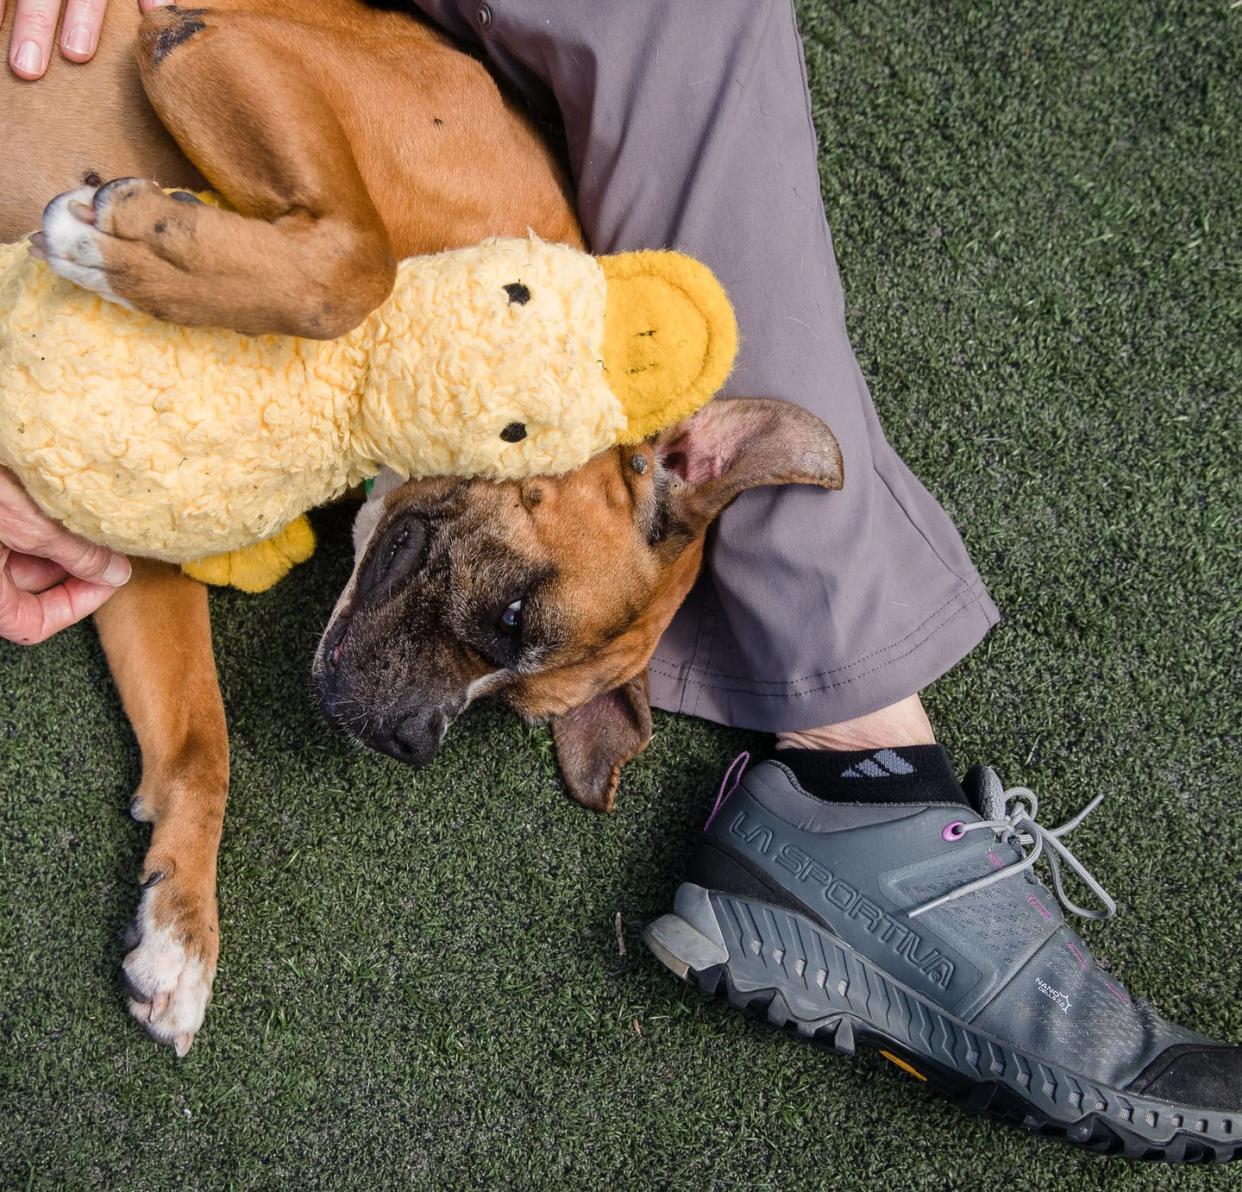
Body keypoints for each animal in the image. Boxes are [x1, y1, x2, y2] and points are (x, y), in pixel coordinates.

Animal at [2, 4, 844, 1057]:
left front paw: (178, 925)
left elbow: (200, 743)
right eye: (514, 616)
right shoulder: (217, 38)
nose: (413, 741)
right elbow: (350, 265)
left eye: (513, 706)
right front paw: (122, 242)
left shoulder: (139, 523)